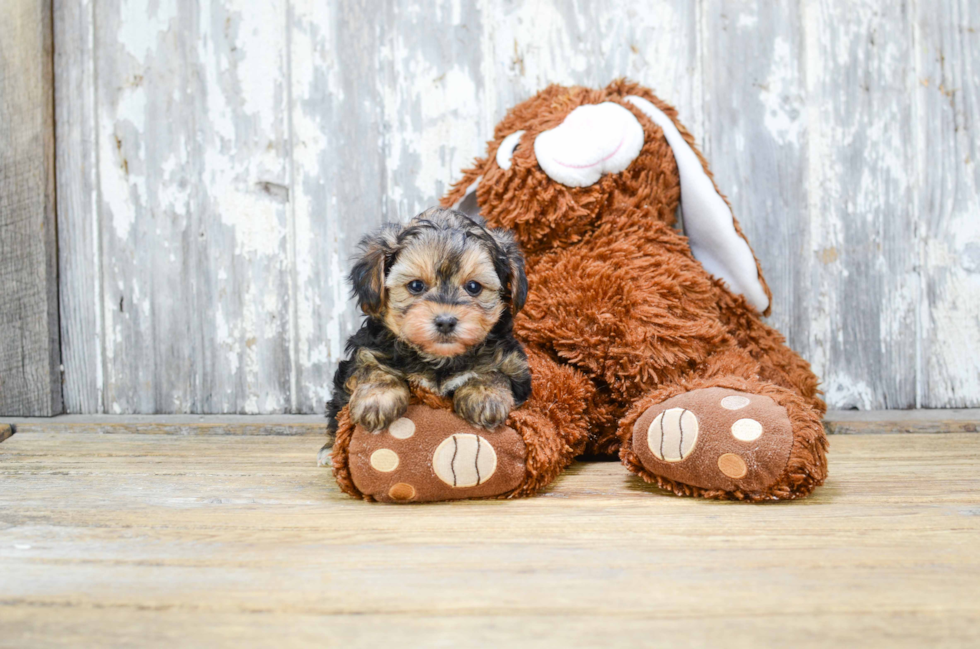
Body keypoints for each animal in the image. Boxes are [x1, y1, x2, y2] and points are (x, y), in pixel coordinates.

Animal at [320, 208, 532, 460]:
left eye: (473, 287)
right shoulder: (366, 349)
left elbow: (495, 371)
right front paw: (378, 399)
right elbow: (371, 367)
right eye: (416, 286)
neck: (438, 359)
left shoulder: (514, 365)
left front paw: (485, 395)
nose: (446, 322)